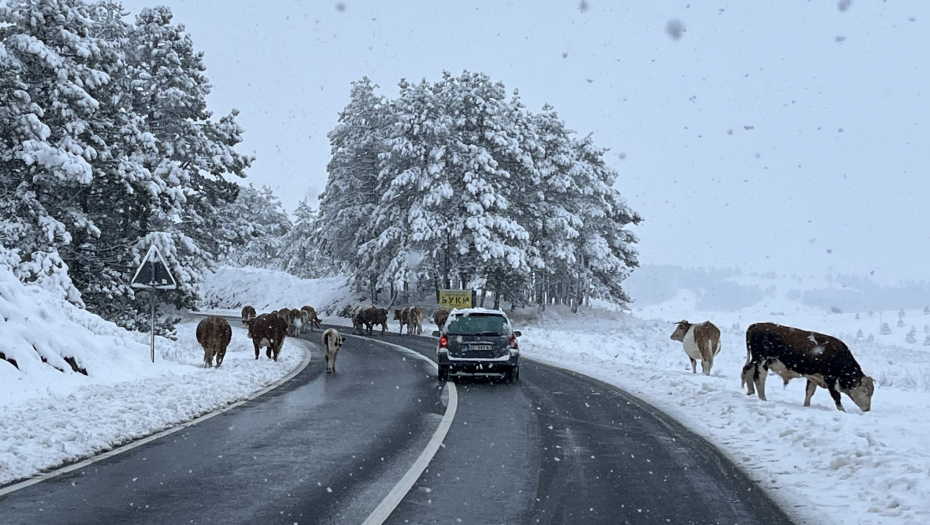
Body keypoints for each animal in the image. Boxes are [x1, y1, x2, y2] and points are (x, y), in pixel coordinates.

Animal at [736, 322, 872, 412]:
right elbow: (836, 397)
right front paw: (842, 411)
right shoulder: (830, 379)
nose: (867, 409)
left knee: (747, 371)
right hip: (762, 361)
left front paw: (806, 406)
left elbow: (809, 392)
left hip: (755, 360)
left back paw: (750, 393)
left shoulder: (814, 377)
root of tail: (757, 325)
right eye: (865, 391)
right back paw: (763, 399)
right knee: (759, 378)